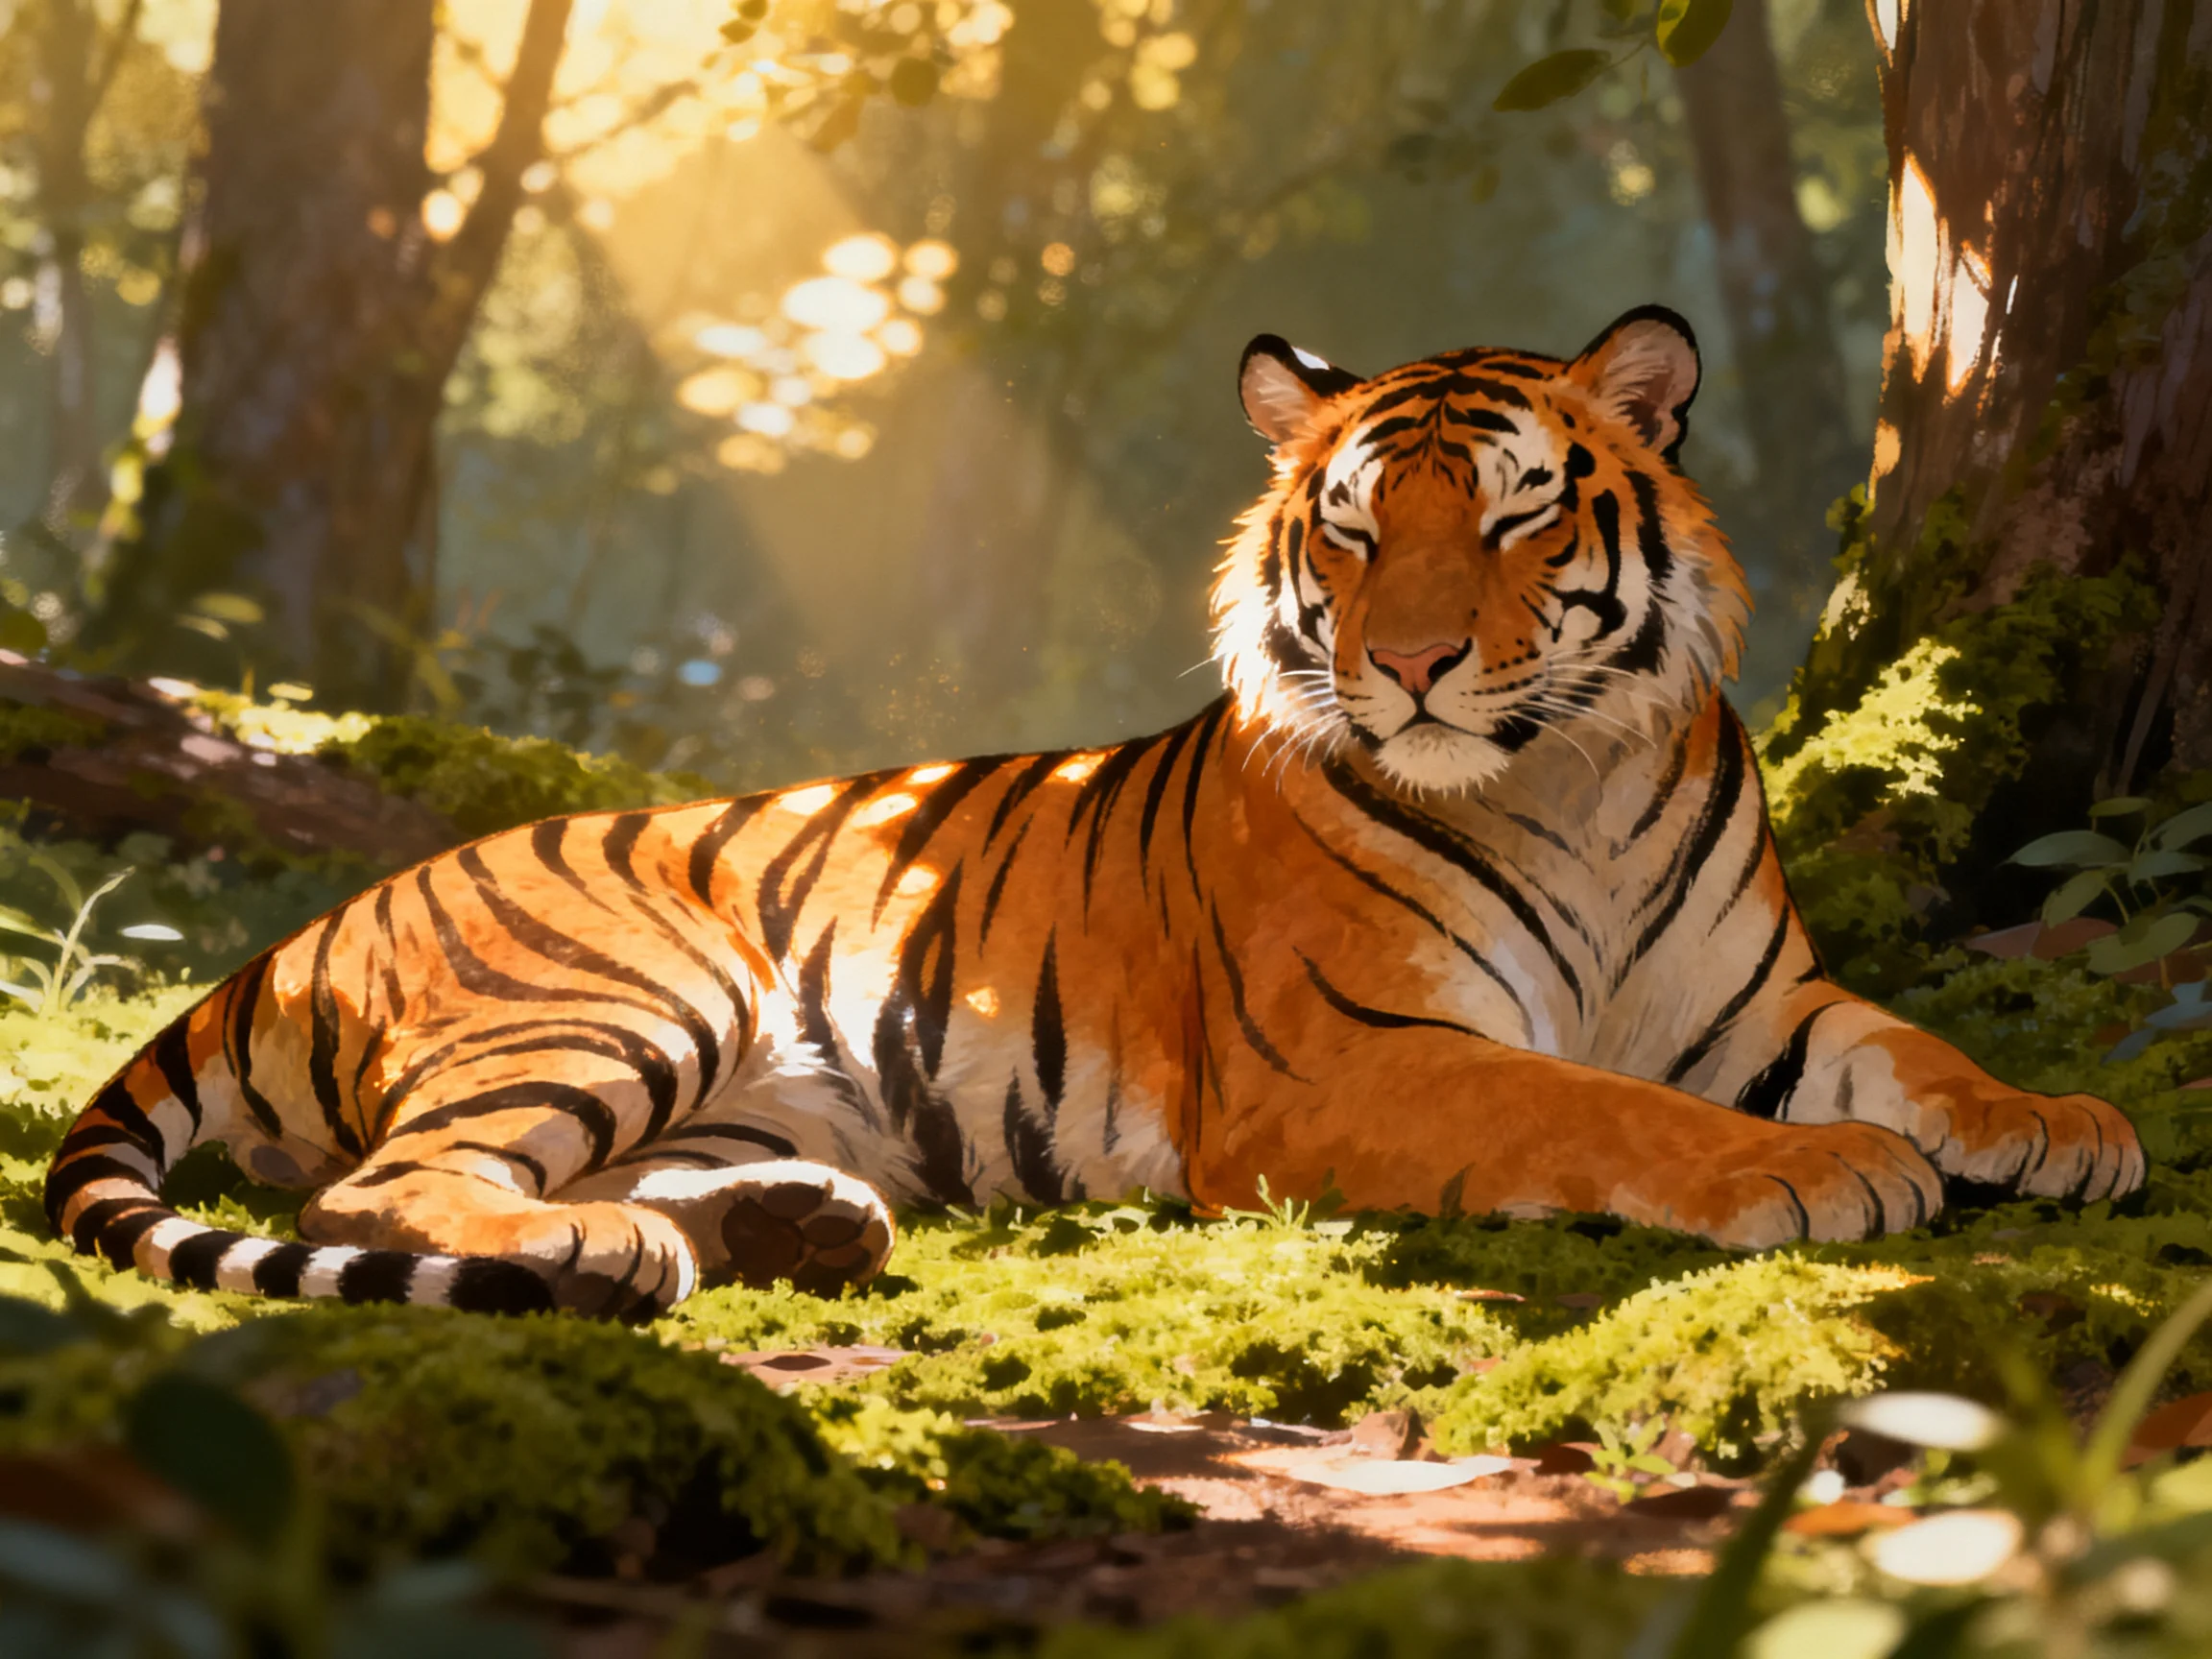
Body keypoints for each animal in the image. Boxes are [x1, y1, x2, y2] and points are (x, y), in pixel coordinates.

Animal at [45, 306, 2145, 1320]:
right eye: (1351, 531)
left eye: (1515, 515)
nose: (1408, 668)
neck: (1575, 770)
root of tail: (299, 933)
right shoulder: (1355, 1059)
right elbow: (1603, 1108)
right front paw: (1813, 1174)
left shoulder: (1756, 1003)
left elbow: (1917, 1047)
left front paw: (2061, 1122)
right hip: (626, 993)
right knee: (388, 1187)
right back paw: (617, 1258)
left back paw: (793, 1224)